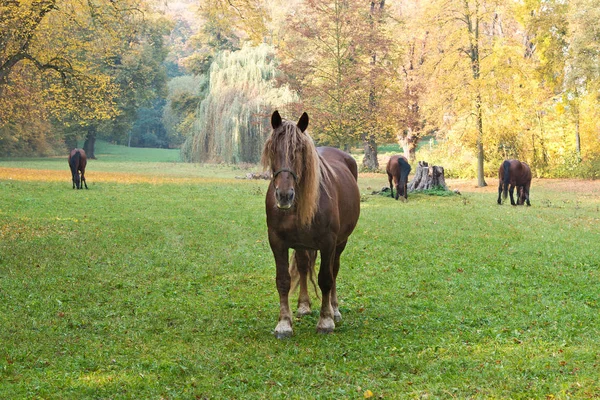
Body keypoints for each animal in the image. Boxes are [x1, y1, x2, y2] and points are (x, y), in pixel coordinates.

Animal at [262, 110, 360, 338]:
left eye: (299, 150)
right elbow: (283, 280)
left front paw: (325, 321)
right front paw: (284, 323)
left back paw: (334, 310)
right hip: (301, 245)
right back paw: (304, 306)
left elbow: (326, 279)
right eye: (273, 149)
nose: (284, 195)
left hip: (340, 243)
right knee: (303, 266)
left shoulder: (328, 243)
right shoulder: (277, 242)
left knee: (334, 270)